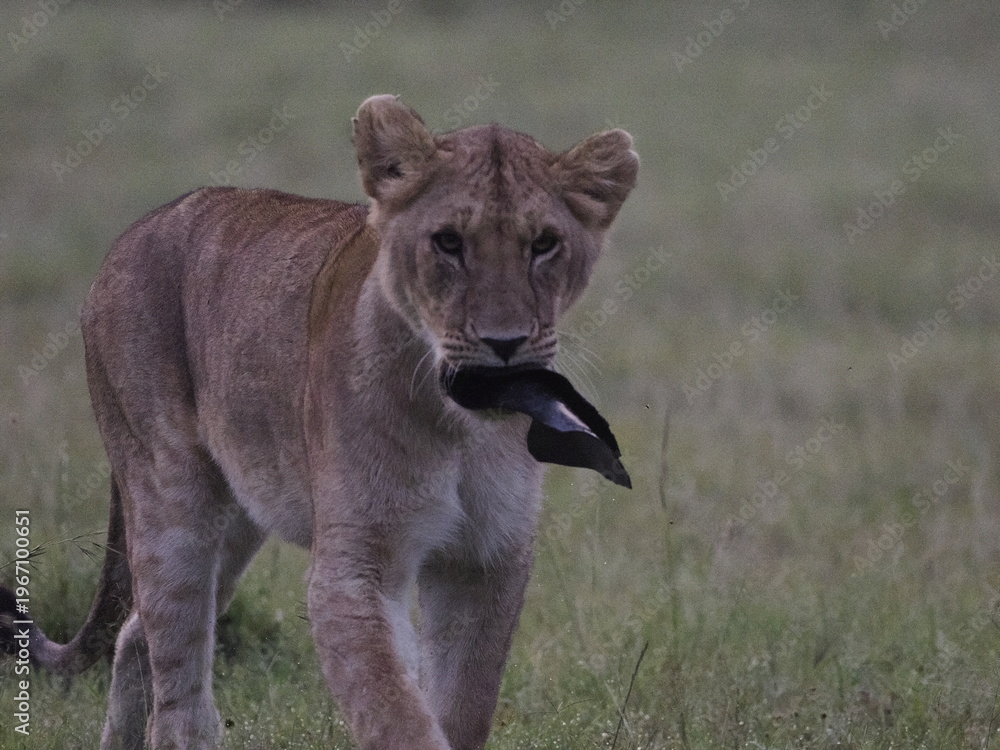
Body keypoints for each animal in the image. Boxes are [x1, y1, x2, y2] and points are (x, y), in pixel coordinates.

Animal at [3, 95, 638, 749]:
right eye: (448, 242)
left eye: (544, 244)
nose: (504, 343)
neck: (460, 429)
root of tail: (133, 232)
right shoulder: (355, 567)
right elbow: (393, 708)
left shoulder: (486, 559)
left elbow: (463, 703)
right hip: (168, 497)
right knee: (176, 681)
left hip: (239, 517)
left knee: (137, 634)